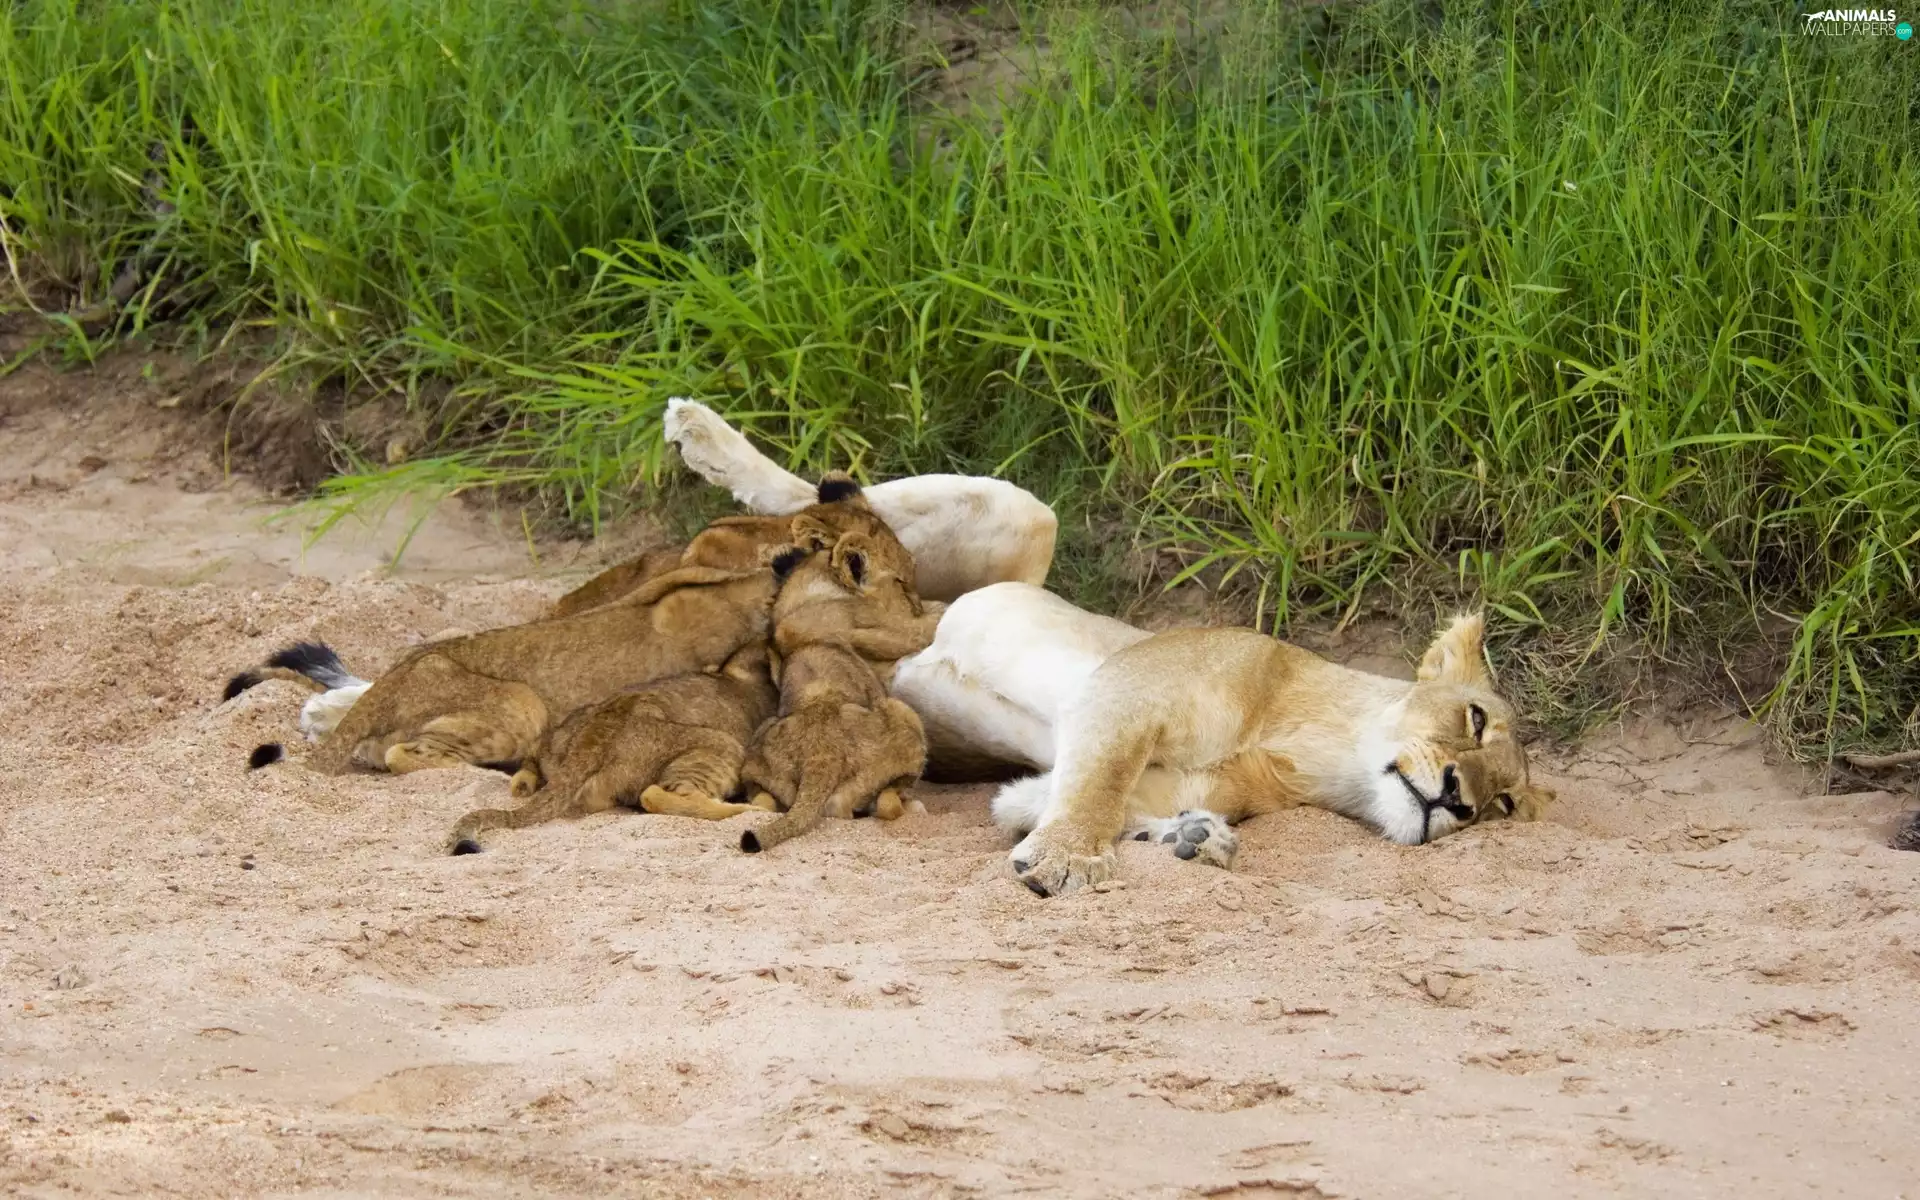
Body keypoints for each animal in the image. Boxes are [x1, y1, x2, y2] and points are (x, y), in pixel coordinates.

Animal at [443, 637, 781, 854]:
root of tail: (592, 737)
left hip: (562, 735)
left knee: (532, 758)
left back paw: (523, 783)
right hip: (720, 744)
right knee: (657, 794)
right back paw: (754, 808)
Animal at [735, 534, 932, 855]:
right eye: (900, 582)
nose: (915, 603)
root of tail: (821, 757)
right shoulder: (894, 633)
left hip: (757, 754)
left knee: (763, 802)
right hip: (904, 713)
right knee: (886, 803)